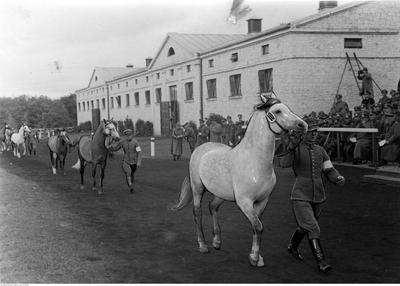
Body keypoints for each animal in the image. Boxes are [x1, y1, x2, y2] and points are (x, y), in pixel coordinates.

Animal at [170, 95, 308, 268]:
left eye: (288, 108)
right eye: (277, 111)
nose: (303, 125)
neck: (255, 162)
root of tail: (200, 148)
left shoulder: (263, 201)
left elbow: (257, 227)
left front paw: (257, 257)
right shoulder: (245, 201)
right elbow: (258, 226)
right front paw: (254, 258)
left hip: (221, 193)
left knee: (212, 207)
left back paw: (217, 242)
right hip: (197, 188)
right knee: (197, 212)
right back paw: (203, 245)